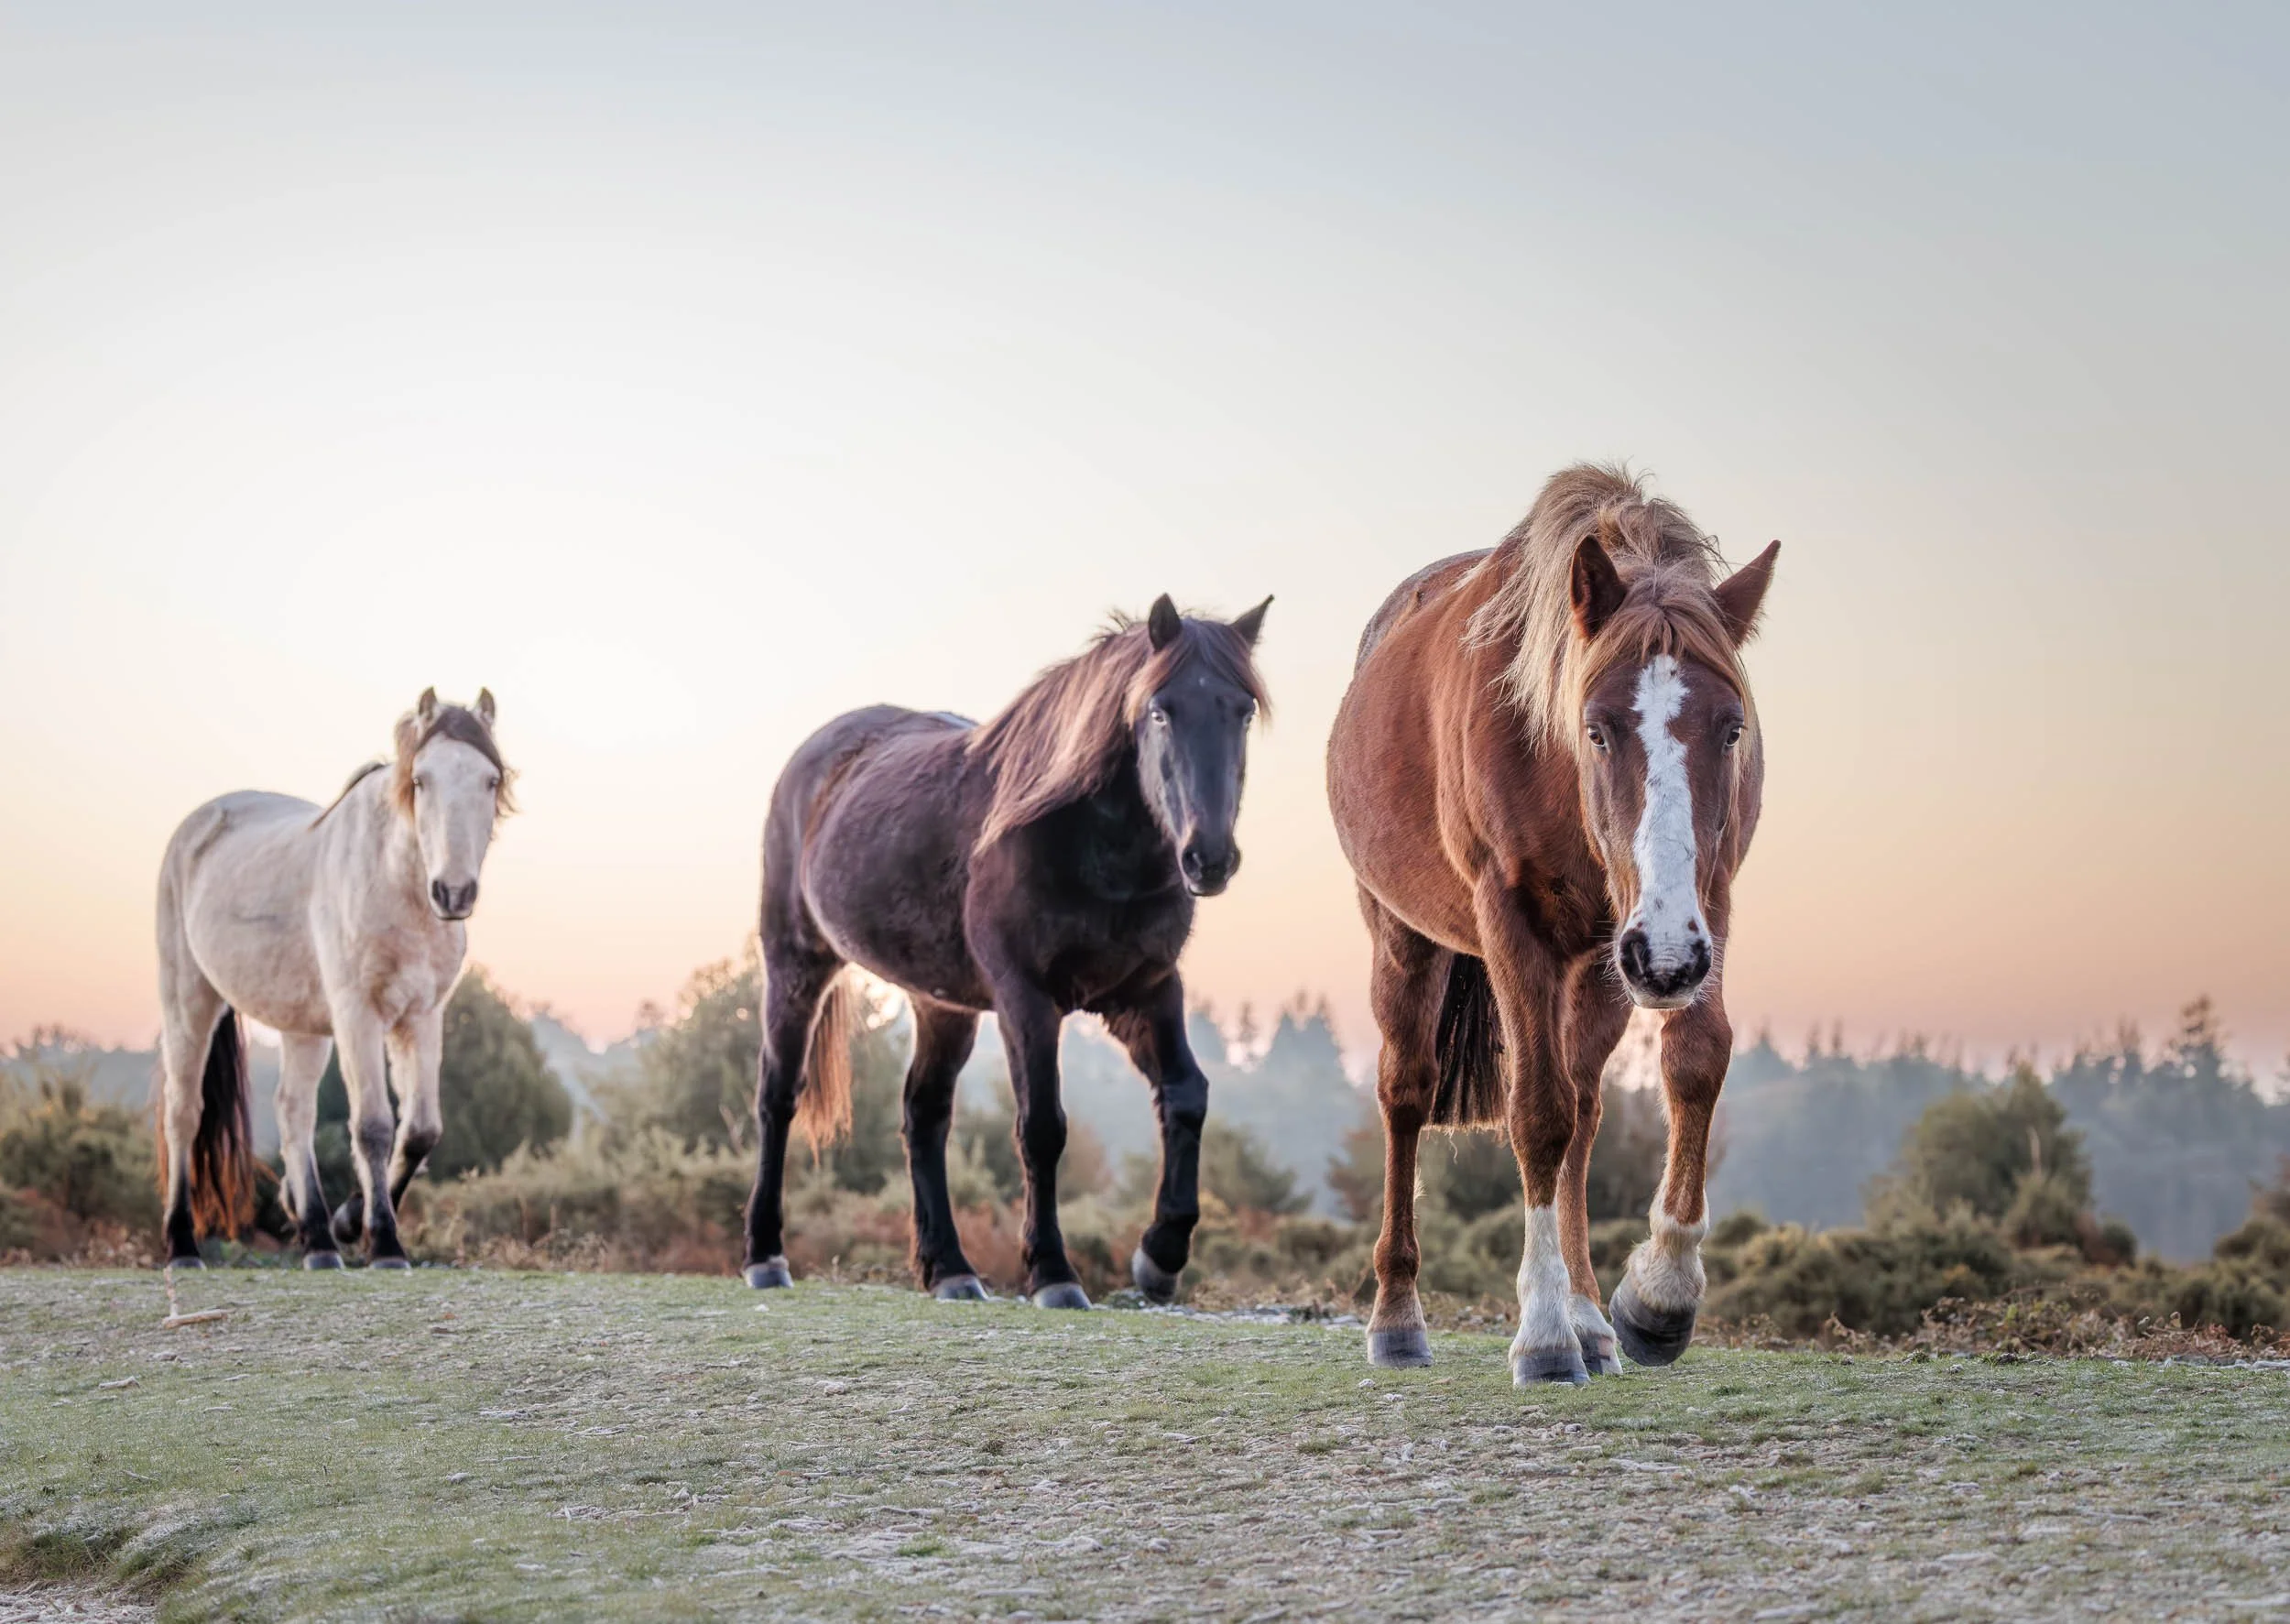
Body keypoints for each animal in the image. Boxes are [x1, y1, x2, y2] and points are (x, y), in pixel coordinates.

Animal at [152, 689, 513, 1269]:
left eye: (491, 780)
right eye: (420, 780)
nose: (453, 892)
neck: (395, 883)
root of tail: (197, 825)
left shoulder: (422, 1016)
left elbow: (420, 1131)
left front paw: (349, 1222)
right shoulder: (357, 1014)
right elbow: (373, 1126)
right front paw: (384, 1243)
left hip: (301, 1025)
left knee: (293, 1112)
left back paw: (319, 1238)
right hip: (188, 1003)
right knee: (184, 1114)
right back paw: (183, 1245)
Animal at [742, 595, 1270, 1308]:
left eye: (1242, 710)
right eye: (1160, 709)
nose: (1208, 858)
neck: (1088, 842)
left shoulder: (1147, 988)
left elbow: (1186, 1095)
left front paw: (1159, 1256)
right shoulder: (1027, 997)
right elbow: (1042, 1127)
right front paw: (1054, 1273)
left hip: (941, 1004)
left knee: (924, 1115)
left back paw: (950, 1268)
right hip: (796, 966)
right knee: (778, 1097)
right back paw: (765, 1255)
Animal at [1326, 465, 1777, 1384]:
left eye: (1732, 728)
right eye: (1595, 728)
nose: (1665, 960)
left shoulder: (1700, 905)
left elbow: (1694, 1061)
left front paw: (1657, 1295)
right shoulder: (1514, 924)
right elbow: (1534, 1113)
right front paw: (1540, 1335)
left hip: (1603, 963)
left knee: (1587, 1106)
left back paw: (1591, 1316)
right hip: (1408, 939)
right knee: (1407, 1092)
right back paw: (1398, 1317)